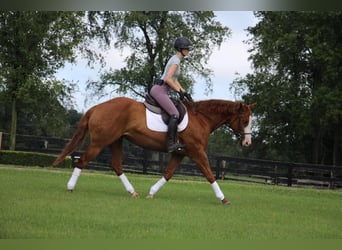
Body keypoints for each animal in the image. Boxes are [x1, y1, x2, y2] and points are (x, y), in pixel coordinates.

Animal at [53, 96, 255, 204]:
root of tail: (97, 107)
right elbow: (210, 174)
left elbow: (168, 173)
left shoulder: (180, 153)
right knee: (83, 160)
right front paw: (223, 199)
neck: (201, 119)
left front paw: (151, 193)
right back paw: (70, 188)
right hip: (100, 143)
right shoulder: (197, 152)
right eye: (245, 121)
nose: (247, 143)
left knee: (117, 165)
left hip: (116, 141)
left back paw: (133, 192)